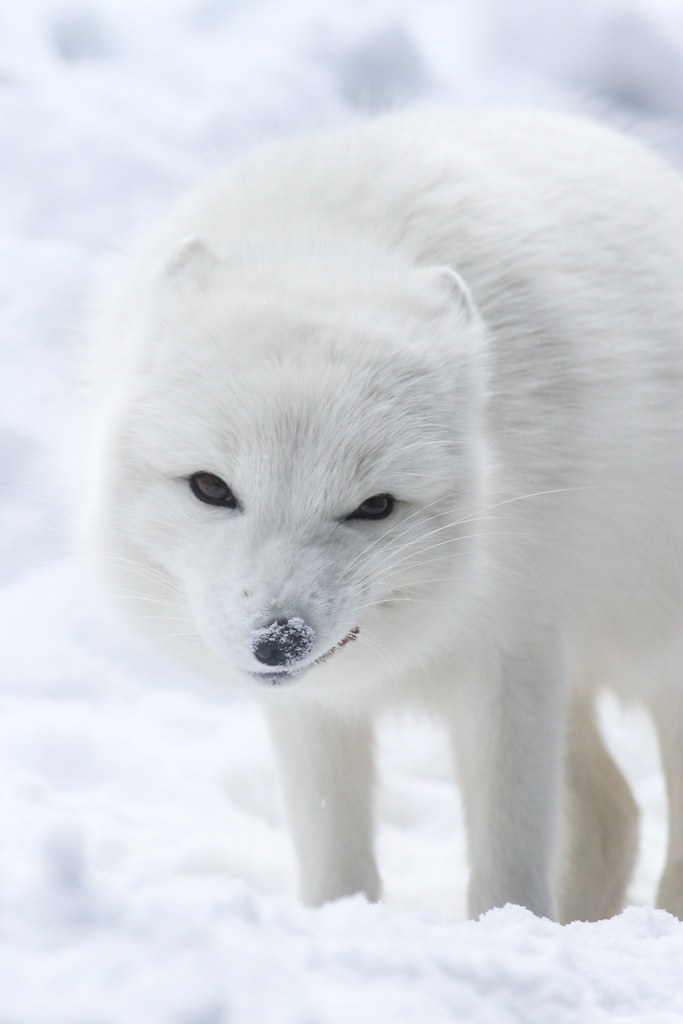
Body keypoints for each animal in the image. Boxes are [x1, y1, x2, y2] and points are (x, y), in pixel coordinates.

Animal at [80, 108, 683, 922]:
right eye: (211, 488)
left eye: (373, 507)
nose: (278, 640)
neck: (329, 249)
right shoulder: (317, 703)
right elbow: (336, 860)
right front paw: (336, 924)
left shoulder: (510, 650)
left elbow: (507, 866)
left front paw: (505, 930)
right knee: (611, 815)